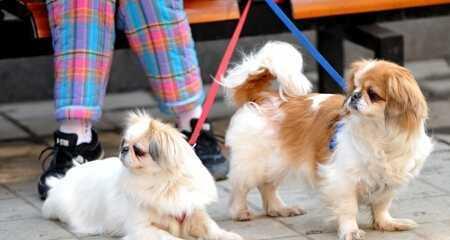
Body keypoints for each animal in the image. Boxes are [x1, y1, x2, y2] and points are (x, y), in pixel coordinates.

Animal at [42, 112, 243, 240]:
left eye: (138, 150)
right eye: (124, 143)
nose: (123, 149)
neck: (164, 183)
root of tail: (62, 180)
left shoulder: (193, 212)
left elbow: (212, 228)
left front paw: (229, 235)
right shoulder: (142, 228)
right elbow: (168, 237)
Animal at [224, 41, 432, 240]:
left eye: (373, 94)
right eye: (355, 88)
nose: (355, 96)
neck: (379, 133)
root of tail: (262, 96)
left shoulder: (388, 180)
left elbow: (381, 205)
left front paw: (386, 223)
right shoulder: (343, 179)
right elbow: (349, 209)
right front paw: (350, 231)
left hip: (278, 161)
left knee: (268, 186)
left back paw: (280, 209)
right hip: (254, 162)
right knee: (241, 187)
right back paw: (240, 211)